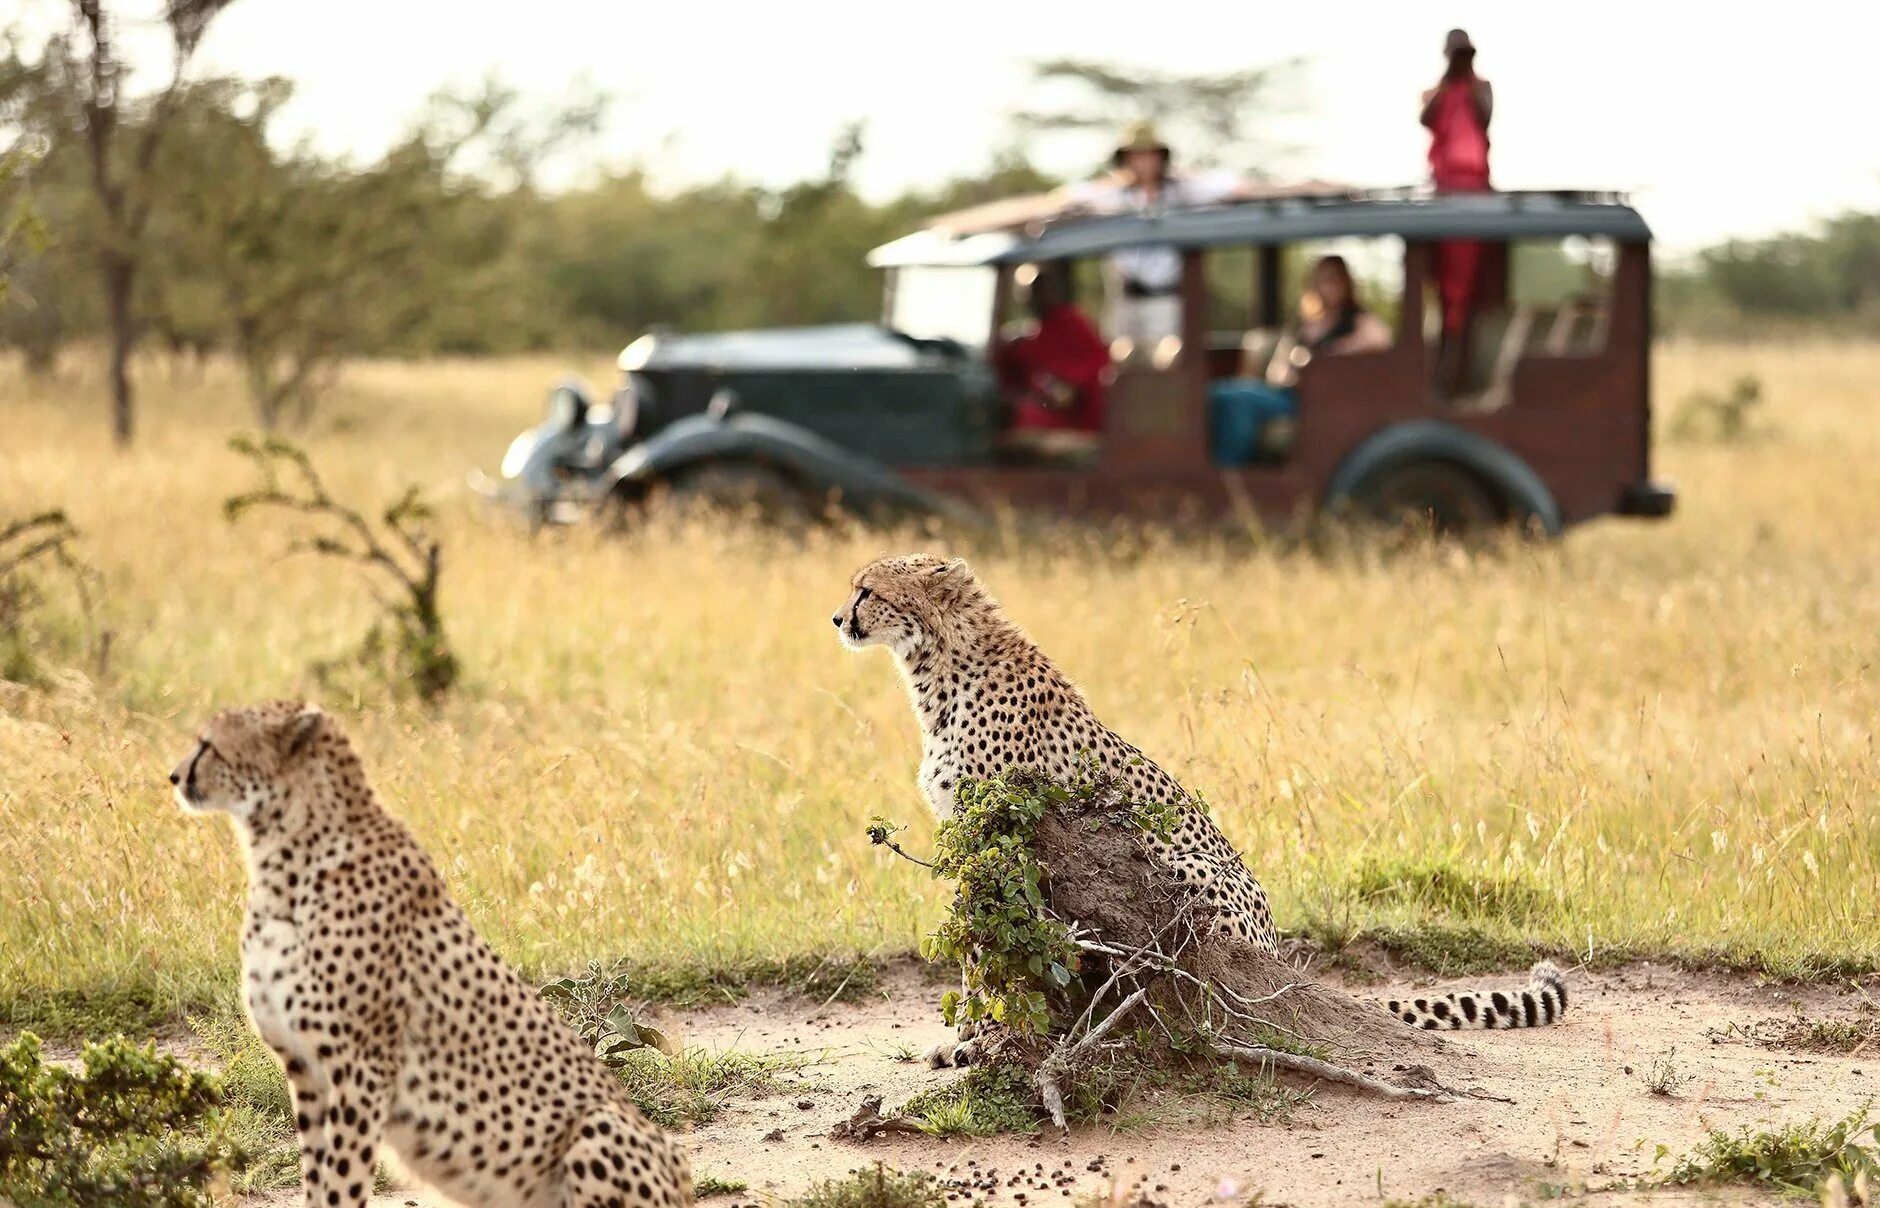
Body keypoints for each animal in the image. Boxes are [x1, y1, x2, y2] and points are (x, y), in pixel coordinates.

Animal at [171, 698, 691, 1208]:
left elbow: (341, 1184)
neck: (284, 856)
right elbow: (318, 1181)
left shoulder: (363, 1069)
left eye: (208, 745)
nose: (174, 776)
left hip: (599, 1126)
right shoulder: (307, 1073)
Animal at [838, 552, 1571, 1067]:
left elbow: (985, 948)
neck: (940, 666)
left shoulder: (1002, 836)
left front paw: (974, 1037)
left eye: (868, 590)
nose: (838, 619)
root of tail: (1279, 956)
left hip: (1180, 867)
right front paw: (968, 1034)